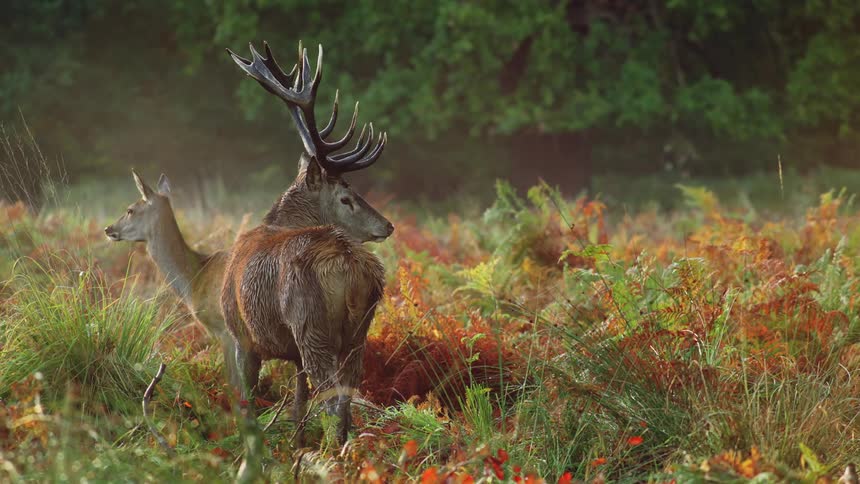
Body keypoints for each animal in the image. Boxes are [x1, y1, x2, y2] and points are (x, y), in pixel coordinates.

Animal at [222, 41, 392, 446]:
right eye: (346, 197)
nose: (388, 225)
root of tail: (348, 263)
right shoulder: (294, 356)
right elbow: (298, 404)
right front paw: (295, 444)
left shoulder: (241, 335)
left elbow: (248, 401)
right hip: (359, 333)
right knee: (345, 397)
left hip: (311, 325)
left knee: (332, 401)